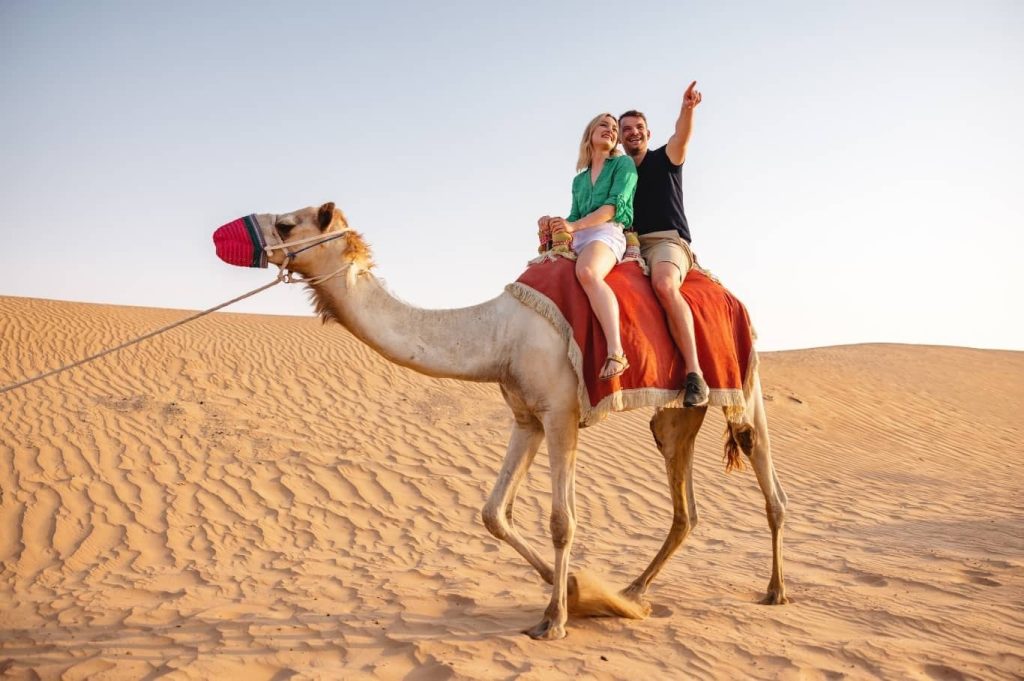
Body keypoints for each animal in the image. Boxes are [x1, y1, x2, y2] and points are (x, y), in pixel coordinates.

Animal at [245, 202, 788, 640]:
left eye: (288, 223)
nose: (251, 239)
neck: (498, 334)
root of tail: (731, 296)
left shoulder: (561, 413)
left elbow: (562, 521)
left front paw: (556, 619)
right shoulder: (527, 417)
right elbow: (493, 512)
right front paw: (577, 590)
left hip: (745, 380)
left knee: (765, 474)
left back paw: (775, 590)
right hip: (676, 416)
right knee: (685, 507)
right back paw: (633, 592)